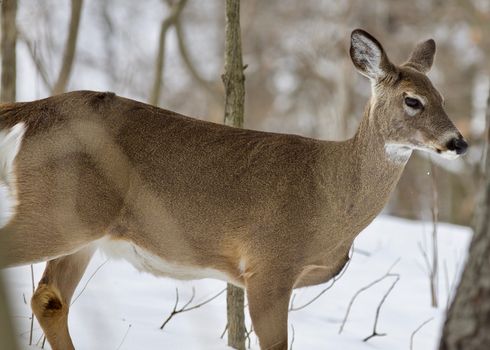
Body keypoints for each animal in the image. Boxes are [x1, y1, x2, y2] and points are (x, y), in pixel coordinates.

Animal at [0, 30, 468, 350]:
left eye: (443, 97)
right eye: (412, 100)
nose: (458, 142)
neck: (330, 193)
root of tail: (33, 111)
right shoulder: (270, 263)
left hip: (83, 227)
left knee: (49, 298)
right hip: (60, 212)